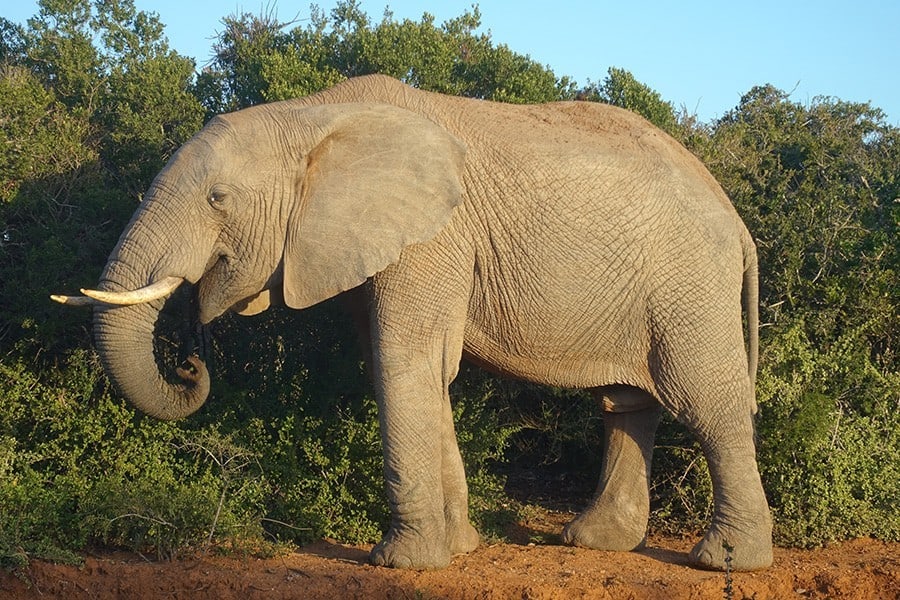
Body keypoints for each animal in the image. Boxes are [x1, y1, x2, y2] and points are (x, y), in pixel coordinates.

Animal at [54, 74, 772, 572]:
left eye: (217, 199)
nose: (190, 363)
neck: (311, 117)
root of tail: (736, 219)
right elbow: (422, 370)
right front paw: (460, 549)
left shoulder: (433, 239)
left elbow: (402, 361)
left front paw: (399, 563)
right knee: (627, 403)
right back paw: (595, 543)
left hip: (689, 285)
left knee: (705, 402)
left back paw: (727, 563)